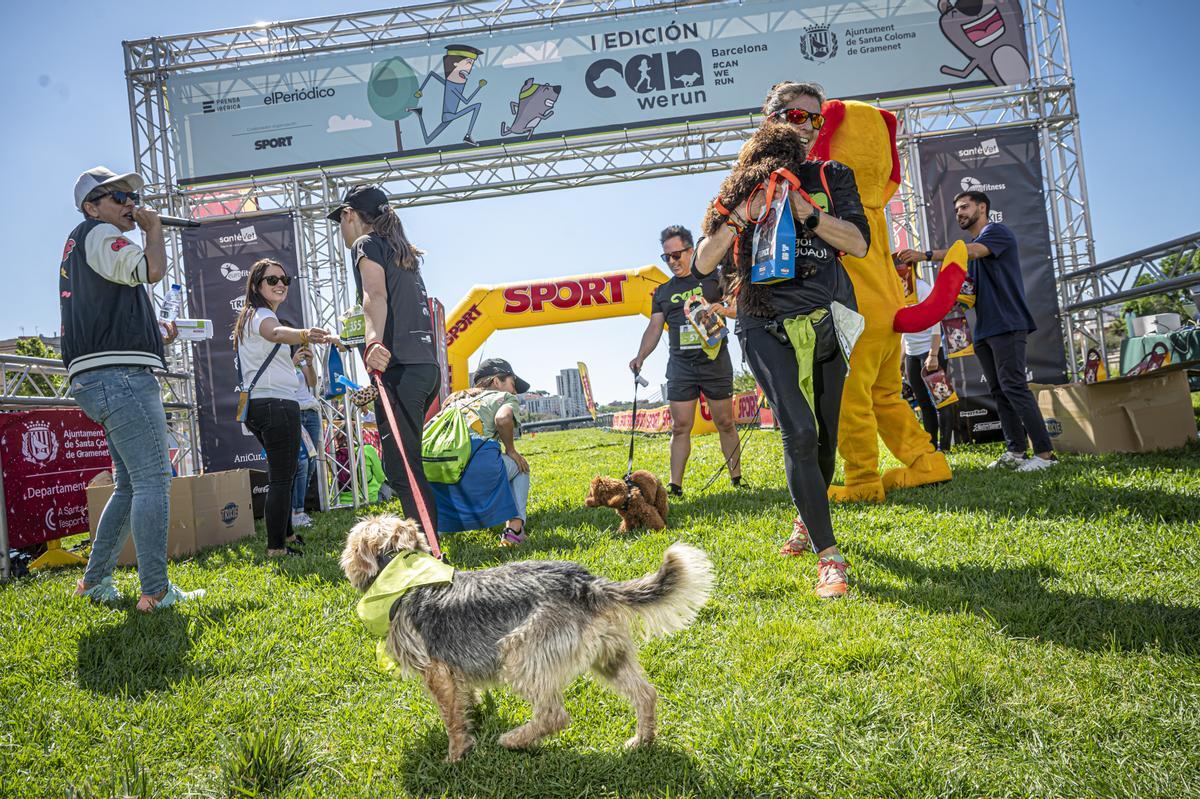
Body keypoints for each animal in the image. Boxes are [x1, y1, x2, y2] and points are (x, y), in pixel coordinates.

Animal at [340, 513, 710, 758]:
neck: (403, 572)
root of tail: (587, 584)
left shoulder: (436, 672)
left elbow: (451, 718)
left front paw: (455, 755)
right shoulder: (454, 669)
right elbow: (464, 699)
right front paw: (474, 714)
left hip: (521, 652)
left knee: (554, 715)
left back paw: (514, 740)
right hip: (609, 655)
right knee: (645, 693)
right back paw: (641, 740)